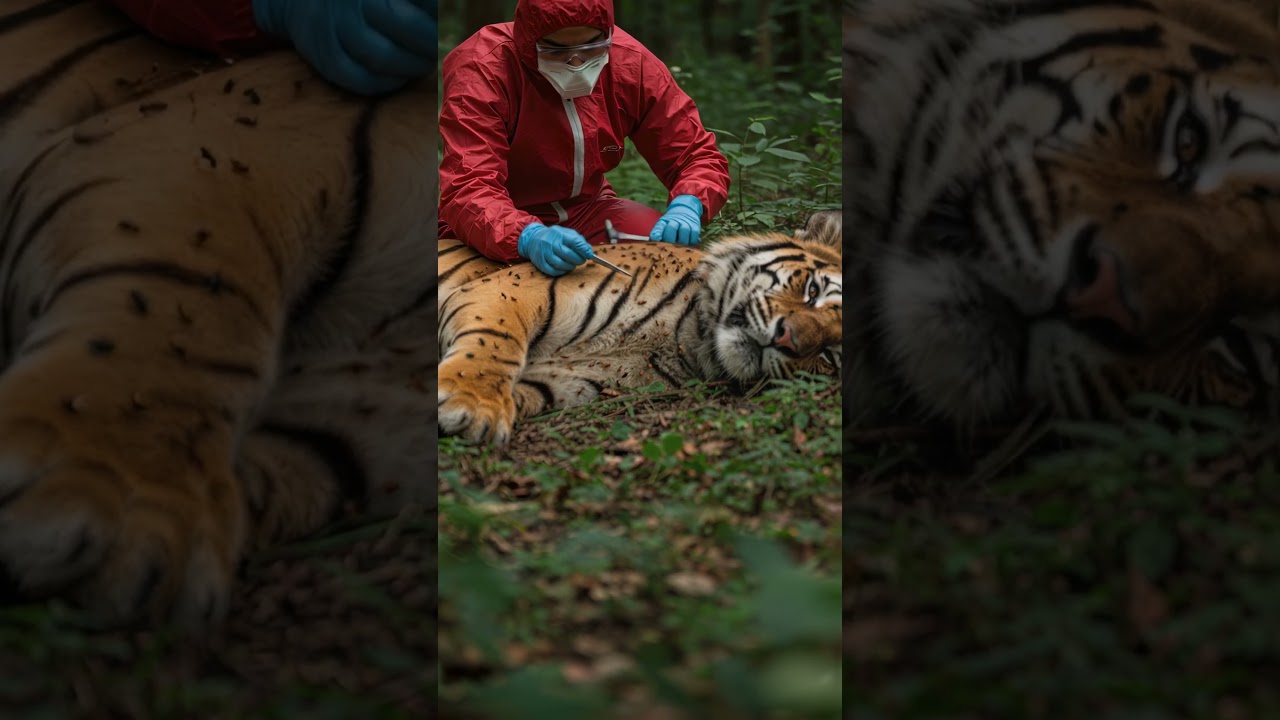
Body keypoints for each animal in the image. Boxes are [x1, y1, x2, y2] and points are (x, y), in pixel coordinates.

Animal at [436, 210, 843, 446]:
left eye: (829, 356)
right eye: (813, 291)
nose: (788, 340)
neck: (689, 336)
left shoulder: (568, 383)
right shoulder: (517, 289)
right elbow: (495, 343)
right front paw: (474, 405)